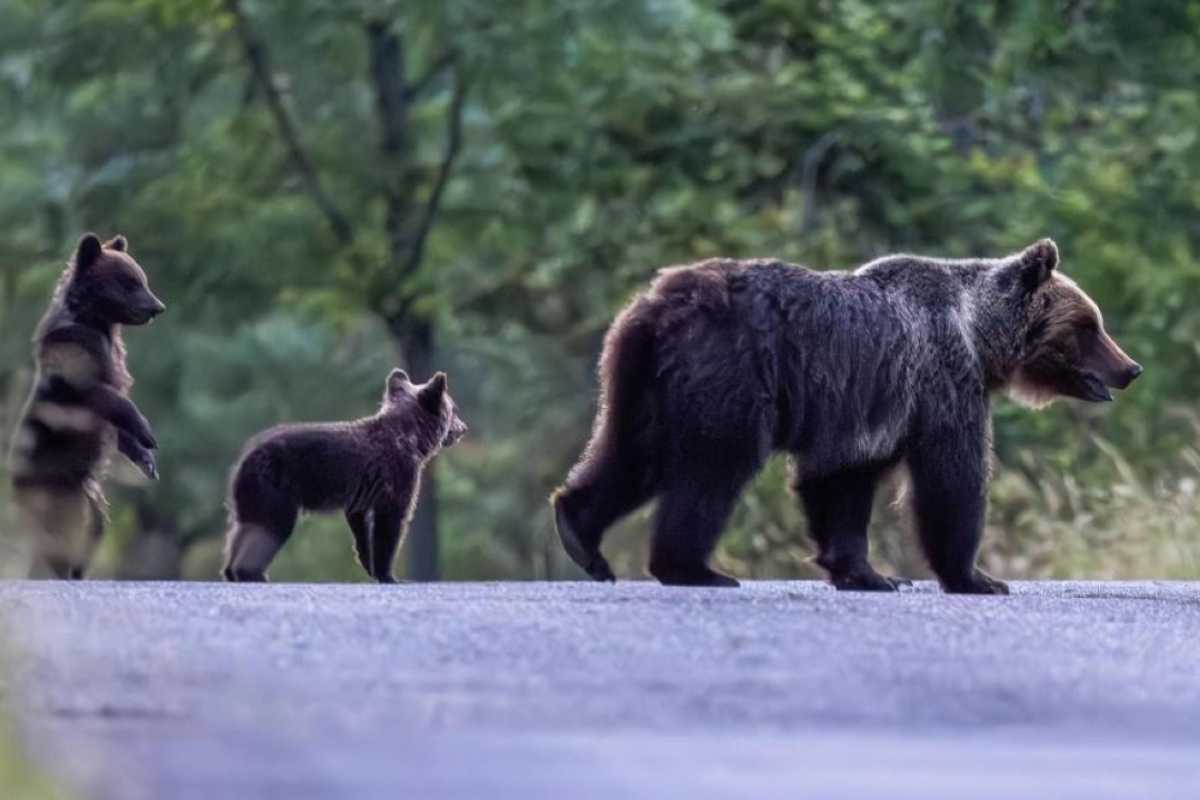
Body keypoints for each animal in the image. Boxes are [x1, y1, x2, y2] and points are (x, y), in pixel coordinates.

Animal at [556, 237, 1137, 594]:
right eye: (1089, 325)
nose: (1130, 368)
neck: (978, 336)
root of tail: (658, 304)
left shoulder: (871, 409)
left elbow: (843, 483)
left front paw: (870, 573)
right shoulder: (941, 379)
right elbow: (951, 478)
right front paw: (977, 577)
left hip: (640, 380)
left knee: (632, 453)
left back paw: (581, 536)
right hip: (729, 371)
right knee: (713, 468)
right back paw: (694, 568)